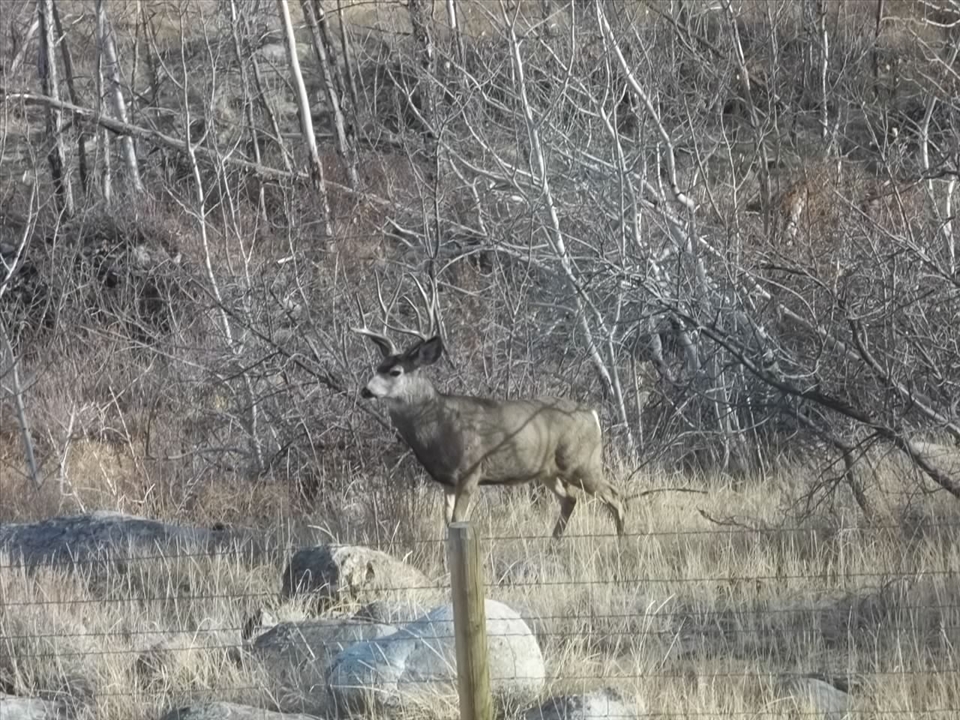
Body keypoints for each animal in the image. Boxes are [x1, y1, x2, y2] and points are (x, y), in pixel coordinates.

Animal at [352, 273, 625, 538]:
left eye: (395, 371)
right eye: (378, 367)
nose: (366, 390)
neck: (439, 426)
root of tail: (592, 414)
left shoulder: (471, 470)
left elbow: (458, 520)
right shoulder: (446, 481)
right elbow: (448, 524)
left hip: (582, 462)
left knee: (615, 497)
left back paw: (621, 543)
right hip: (549, 470)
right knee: (571, 499)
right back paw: (552, 546)